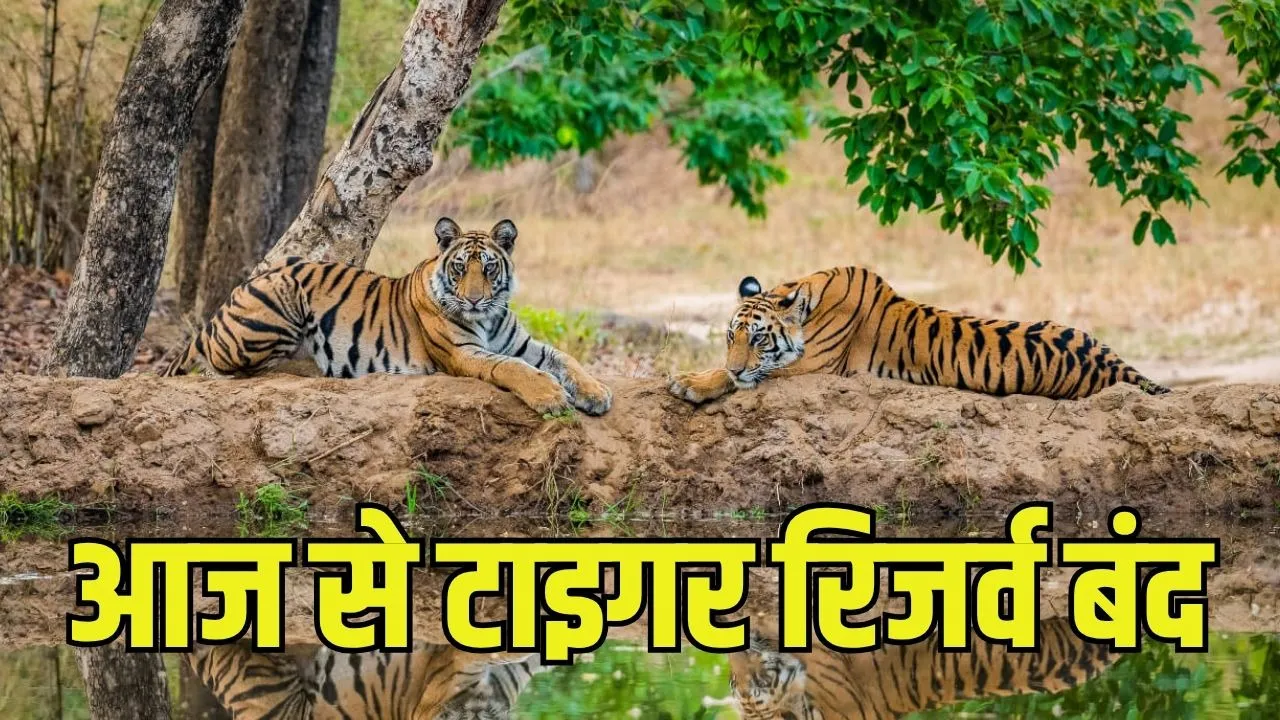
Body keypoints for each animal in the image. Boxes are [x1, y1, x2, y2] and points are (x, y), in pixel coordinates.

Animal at [162, 217, 612, 417]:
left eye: (488, 268)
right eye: (460, 268)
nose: (473, 301)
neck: (489, 318)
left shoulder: (522, 343)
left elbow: (564, 358)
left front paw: (595, 393)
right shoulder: (464, 353)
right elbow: (513, 369)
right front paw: (551, 397)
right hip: (281, 296)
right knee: (235, 370)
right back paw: (313, 367)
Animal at [670, 266, 1169, 404]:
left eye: (758, 339)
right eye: (729, 337)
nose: (739, 364)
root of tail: (1113, 361)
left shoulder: (812, 366)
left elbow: (735, 376)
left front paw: (689, 382)